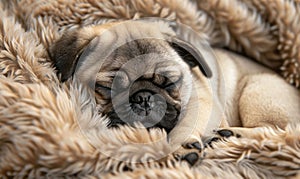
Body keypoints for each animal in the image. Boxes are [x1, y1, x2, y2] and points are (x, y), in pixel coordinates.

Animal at [49, 19, 300, 157]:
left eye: (169, 83)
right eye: (107, 87)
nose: (143, 98)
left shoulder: (203, 101)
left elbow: (187, 124)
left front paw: (182, 147)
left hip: (257, 89)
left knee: (279, 131)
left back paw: (232, 134)